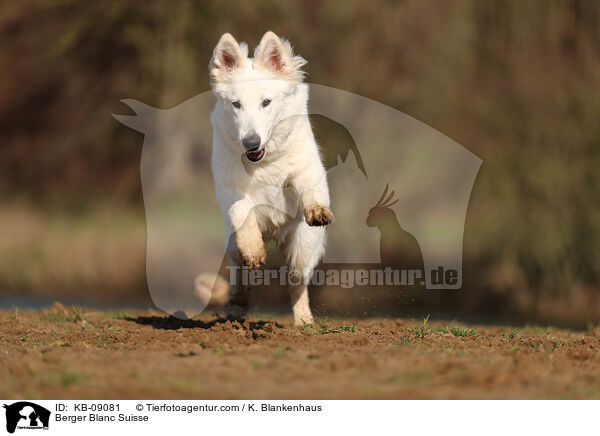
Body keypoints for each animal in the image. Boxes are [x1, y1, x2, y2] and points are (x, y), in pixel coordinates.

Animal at [210, 31, 332, 324]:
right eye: (236, 104)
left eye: (266, 102)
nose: (251, 142)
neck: (263, 163)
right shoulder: (229, 189)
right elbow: (243, 212)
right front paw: (255, 250)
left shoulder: (306, 170)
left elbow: (309, 187)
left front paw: (317, 209)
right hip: (231, 245)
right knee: (238, 272)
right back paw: (237, 302)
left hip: (303, 245)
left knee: (296, 281)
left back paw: (304, 321)